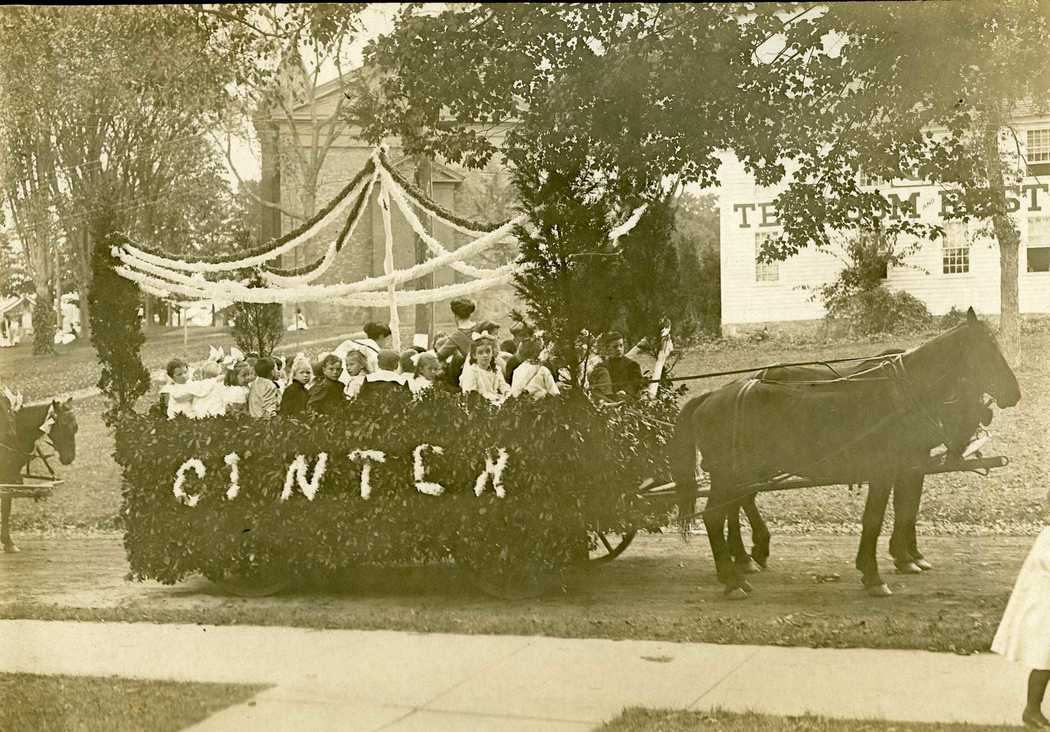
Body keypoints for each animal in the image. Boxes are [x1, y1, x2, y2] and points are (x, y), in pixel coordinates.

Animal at [0, 396, 76, 550]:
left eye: (75, 426)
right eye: (63, 424)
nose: (70, 457)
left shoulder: (10, 476)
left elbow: (6, 507)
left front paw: (8, 542)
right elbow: (5, 507)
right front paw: (8, 541)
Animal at [667, 308, 1020, 600]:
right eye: (986, 351)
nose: (1013, 393)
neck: (901, 395)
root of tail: (712, 395)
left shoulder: (908, 465)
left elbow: (905, 508)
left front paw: (902, 559)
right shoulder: (886, 469)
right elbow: (877, 518)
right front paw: (877, 573)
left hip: (741, 473)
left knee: (734, 507)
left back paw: (740, 563)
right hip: (730, 473)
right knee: (716, 515)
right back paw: (732, 579)